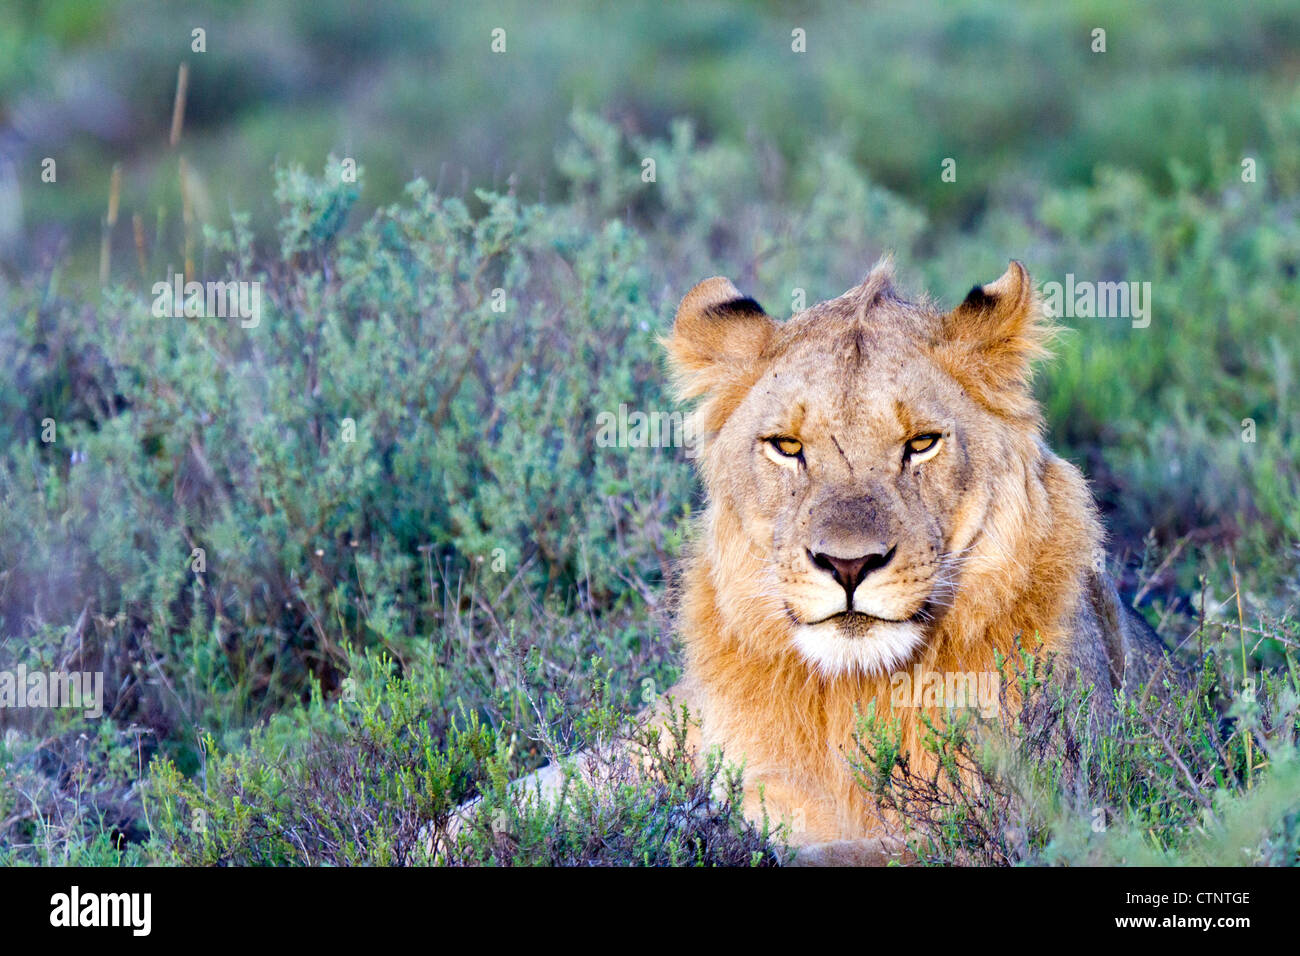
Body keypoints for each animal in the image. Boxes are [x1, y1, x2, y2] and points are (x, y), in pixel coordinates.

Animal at [478, 259, 1168, 865]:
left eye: (922, 443)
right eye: (787, 447)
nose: (848, 566)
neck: (848, 691)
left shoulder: (1034, 818)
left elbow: (828, 854)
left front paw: (698, 831)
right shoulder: (664, 730)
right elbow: (507, 801)